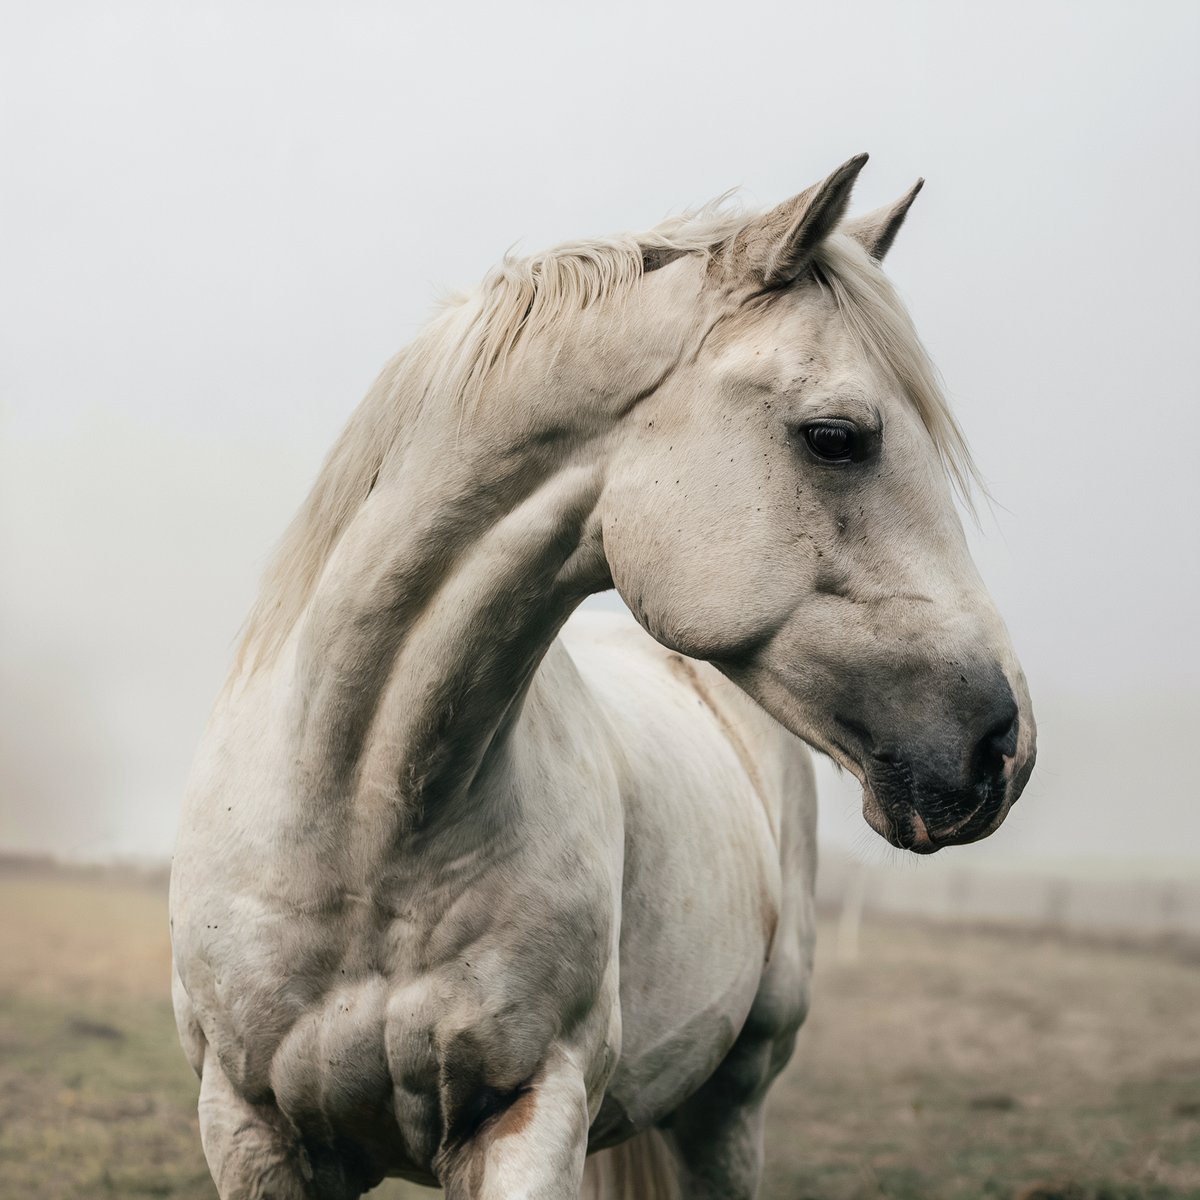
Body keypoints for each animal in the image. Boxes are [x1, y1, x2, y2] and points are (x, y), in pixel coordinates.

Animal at [169, 159, 1032, 1200]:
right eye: (835, 437)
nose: (1003, 744)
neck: (363, 820)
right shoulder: (249, 1129)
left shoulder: (529, 1113)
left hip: (731, 1103)